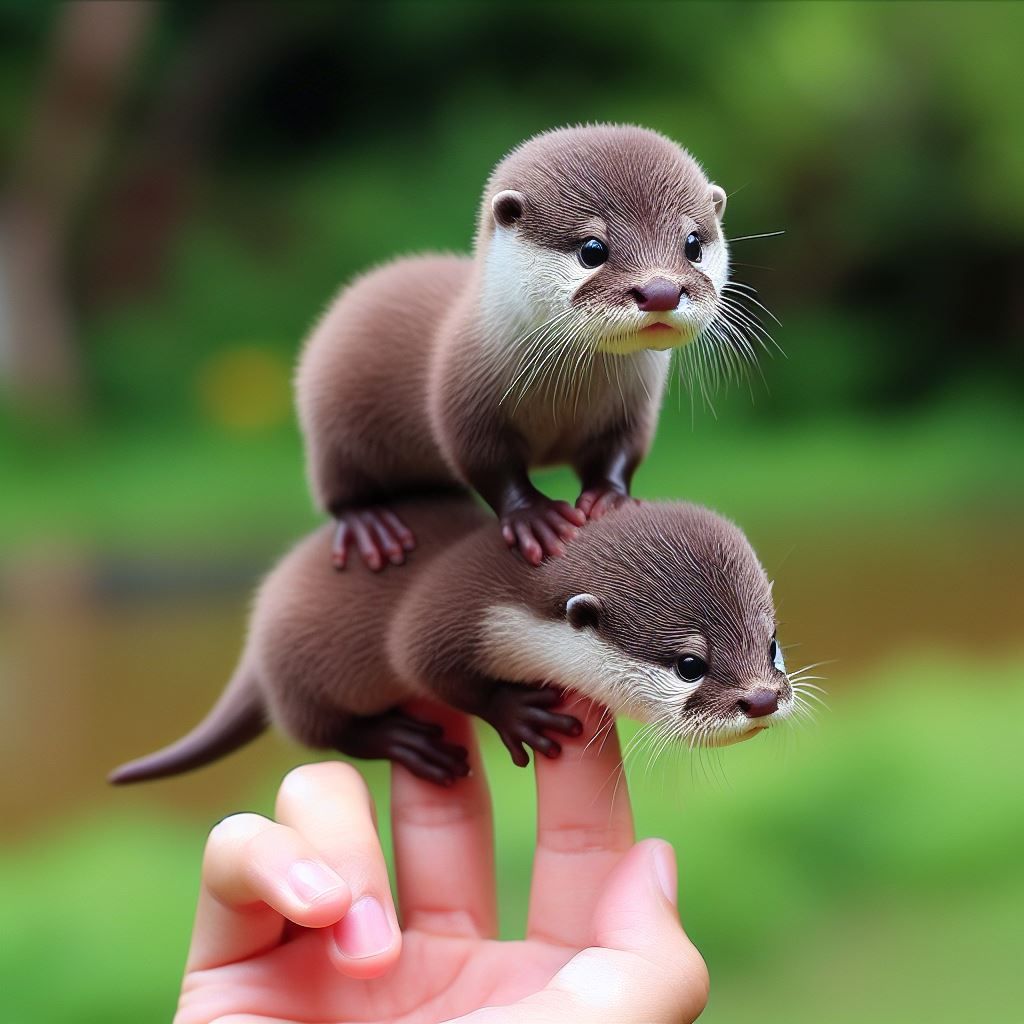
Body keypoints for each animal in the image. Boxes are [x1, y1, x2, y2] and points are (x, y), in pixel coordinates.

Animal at [109, 494, 794, 787]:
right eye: (689, 664)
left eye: (771, 645)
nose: (762, 699)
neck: (520, 601)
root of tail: (255, 636)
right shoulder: (445, 616)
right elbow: (424, 664)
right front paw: (517, 713)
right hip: (299, 673)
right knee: (319, 731)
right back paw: (406, 742)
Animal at [296, 124, 737, 570]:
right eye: (592, 250)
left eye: (693, 244)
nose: (661, 290)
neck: (564, 399)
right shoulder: (462, 393)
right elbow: (486, 462)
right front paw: (535, 517)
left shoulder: (634, 406)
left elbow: (622, 451)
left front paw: (611, 497)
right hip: (332, 432)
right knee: (338, 489)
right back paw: (370, 524)